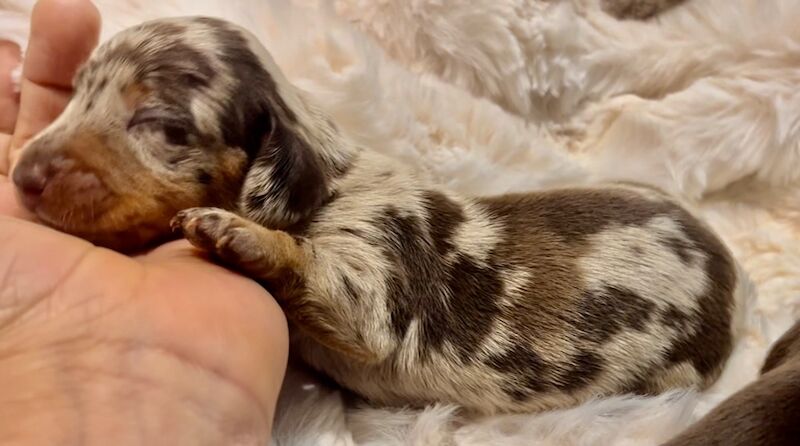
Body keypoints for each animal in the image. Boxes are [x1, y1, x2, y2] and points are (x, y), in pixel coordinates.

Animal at [10, 17, 744, 414]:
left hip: (674, 369)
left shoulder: (375, 268)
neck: (325, 185)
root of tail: (732, 280)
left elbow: (324, 281)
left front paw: (235, 233)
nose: (21, 177)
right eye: (76, 94)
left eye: (160, 125)